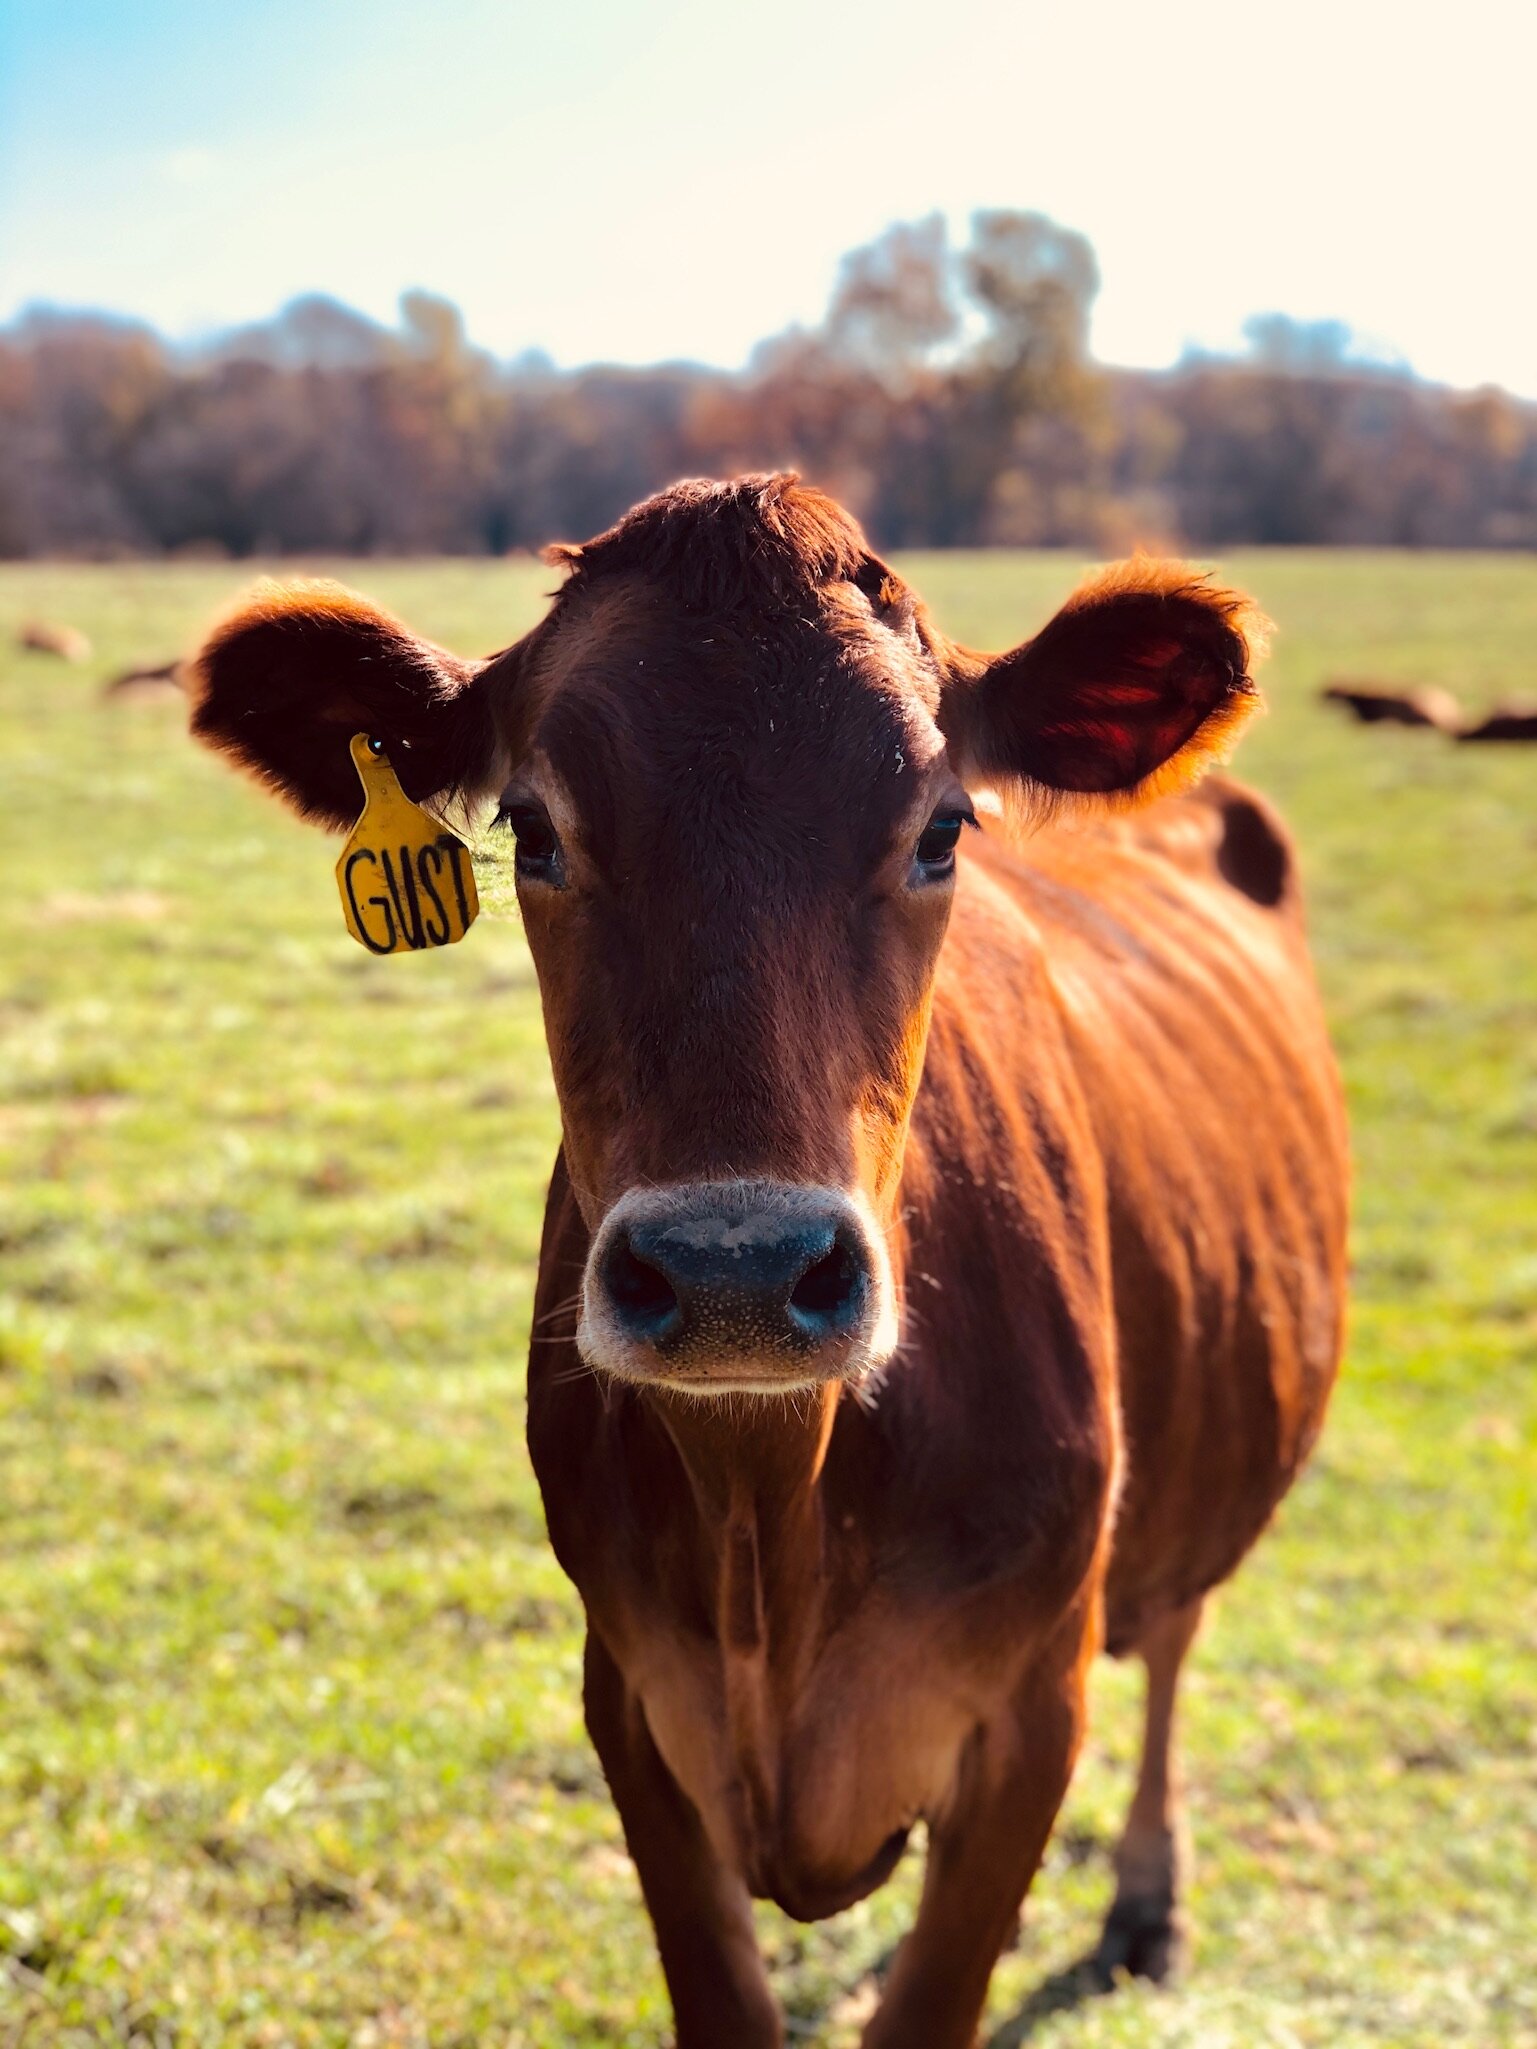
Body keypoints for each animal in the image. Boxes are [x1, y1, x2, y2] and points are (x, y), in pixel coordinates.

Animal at [190, 475, 1348, 2049]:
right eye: (533, 830)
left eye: (942, 827)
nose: (732, 1272)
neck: (771, 1525)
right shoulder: (631, 1703)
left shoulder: (1029, 1712)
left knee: (1172, 1628)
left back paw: (1146, 1898)